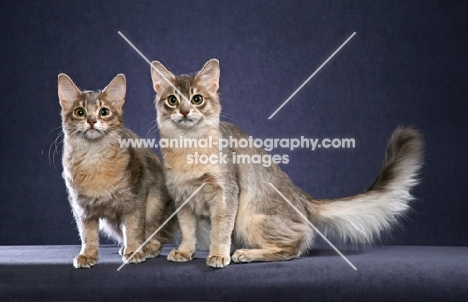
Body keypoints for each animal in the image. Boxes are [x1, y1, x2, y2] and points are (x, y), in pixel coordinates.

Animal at [58, 73, 176, 268]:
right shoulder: (81, 207)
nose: (91, 121)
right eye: (80, 112)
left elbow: (133, 228)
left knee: (157, 238)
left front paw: (134, 251)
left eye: (104, 111)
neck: (94, 158)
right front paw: (88, 255)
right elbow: (87, 234)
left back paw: (147, 249)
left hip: (154, 204)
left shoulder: (135, 199)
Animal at [150, 59, 424, 268]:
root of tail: (302, 197)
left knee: (296, 244)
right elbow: (187, 230)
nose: (185, 111)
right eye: (172, 100)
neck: (188, 147)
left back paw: (245, 254)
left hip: (248, 215)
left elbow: (220, 229)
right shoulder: (181, 198)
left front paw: (218, 255)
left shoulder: (226, 193)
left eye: (197, 99)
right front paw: (185, 252)